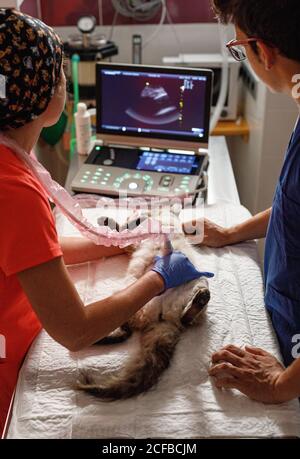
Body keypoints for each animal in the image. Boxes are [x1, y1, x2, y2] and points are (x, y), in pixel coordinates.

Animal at [77, 214, 211, 400]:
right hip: (128, 298)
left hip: (194, 282)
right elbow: (120, 231)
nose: (135, 221)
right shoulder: (133, 242)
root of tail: (163, 318)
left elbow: (121, 229)